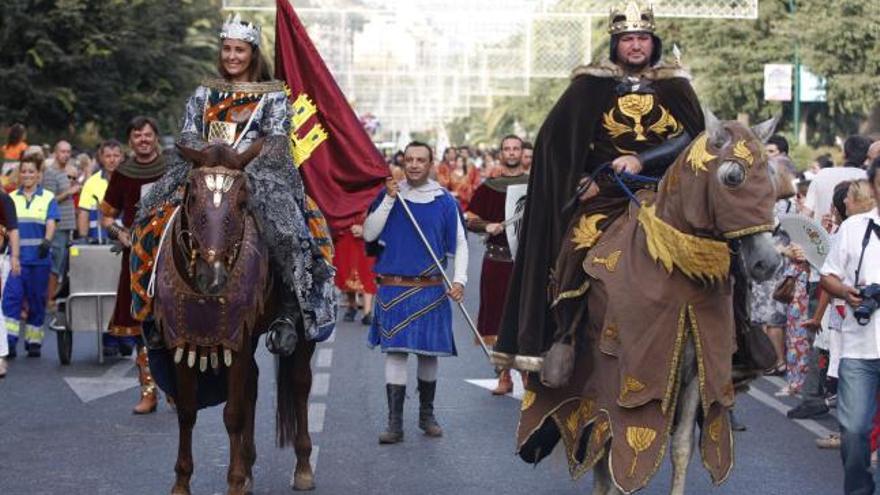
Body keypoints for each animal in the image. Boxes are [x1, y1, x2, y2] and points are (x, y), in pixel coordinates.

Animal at [155, 140, 320, 495]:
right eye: (191, 195)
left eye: (244, 201)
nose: (212, 275)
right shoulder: (181, 338)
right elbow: (187, 411)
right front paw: (182, 482)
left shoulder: (237, 337)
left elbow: (233, 414)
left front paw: (234, 481)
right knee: (253, 384)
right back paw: (249, 467)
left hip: (302, 334)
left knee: (300, 383)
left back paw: (302, 467)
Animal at [508, 117, 784, 495]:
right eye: (733, 177)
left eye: (771, 175)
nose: (767, 263)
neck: (676, 270)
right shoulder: (623, 379)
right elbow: (613, 449)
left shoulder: (696, 372)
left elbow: (680, 447)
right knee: (597, 443)